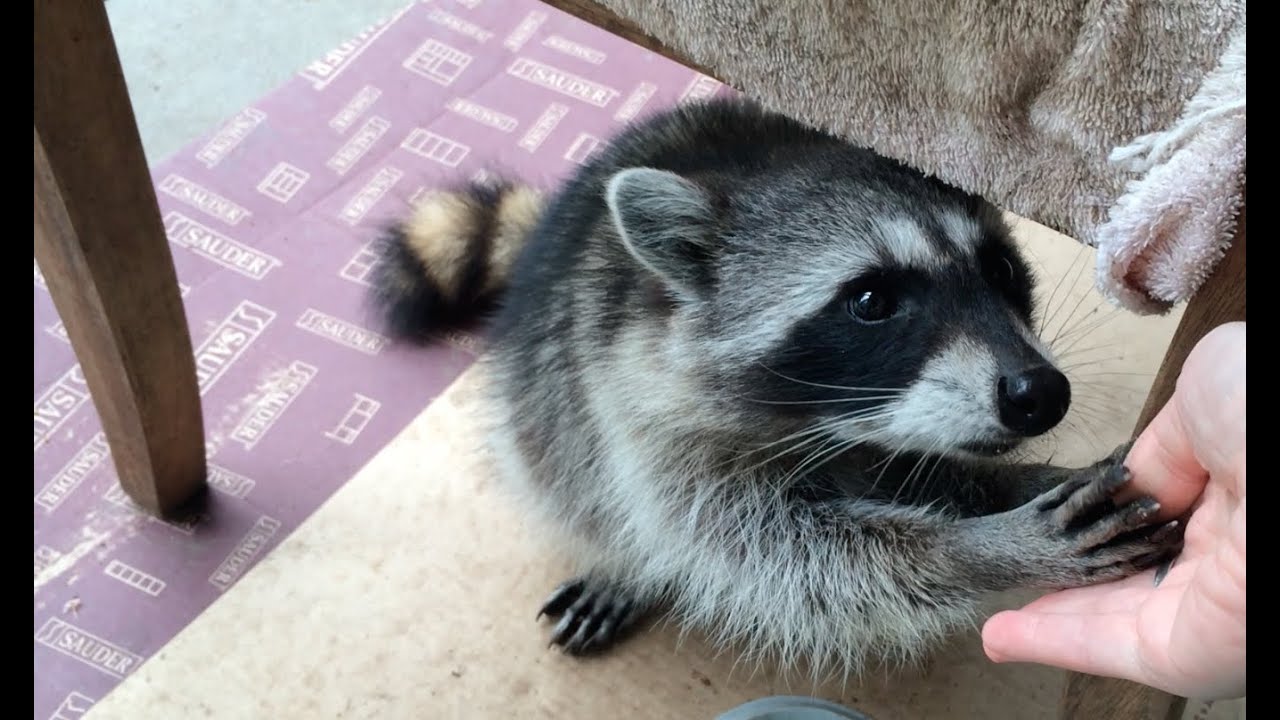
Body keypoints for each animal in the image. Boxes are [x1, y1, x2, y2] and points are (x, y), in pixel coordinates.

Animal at [368, 98, 1182, 676]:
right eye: (870, 301)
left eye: (1003, 270)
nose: (1038, 394)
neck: (838, 425)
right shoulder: (638, 404)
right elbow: (766, 554)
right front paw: (980, 549)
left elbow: (933, 475)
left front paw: (1022, 485)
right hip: (547, 386)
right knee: (576, 476)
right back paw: (625, 561)